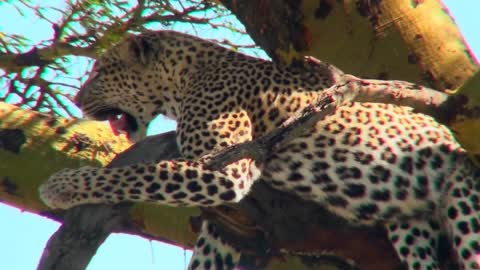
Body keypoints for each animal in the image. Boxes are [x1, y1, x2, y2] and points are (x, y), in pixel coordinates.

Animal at [39, 30, 480, 268]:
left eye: (101, 70)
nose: (77, 99)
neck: (184, 79)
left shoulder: (227, 172)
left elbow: (136, 173)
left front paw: (62, 185)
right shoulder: (227, 227)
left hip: (465, 198)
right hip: (409, 226)